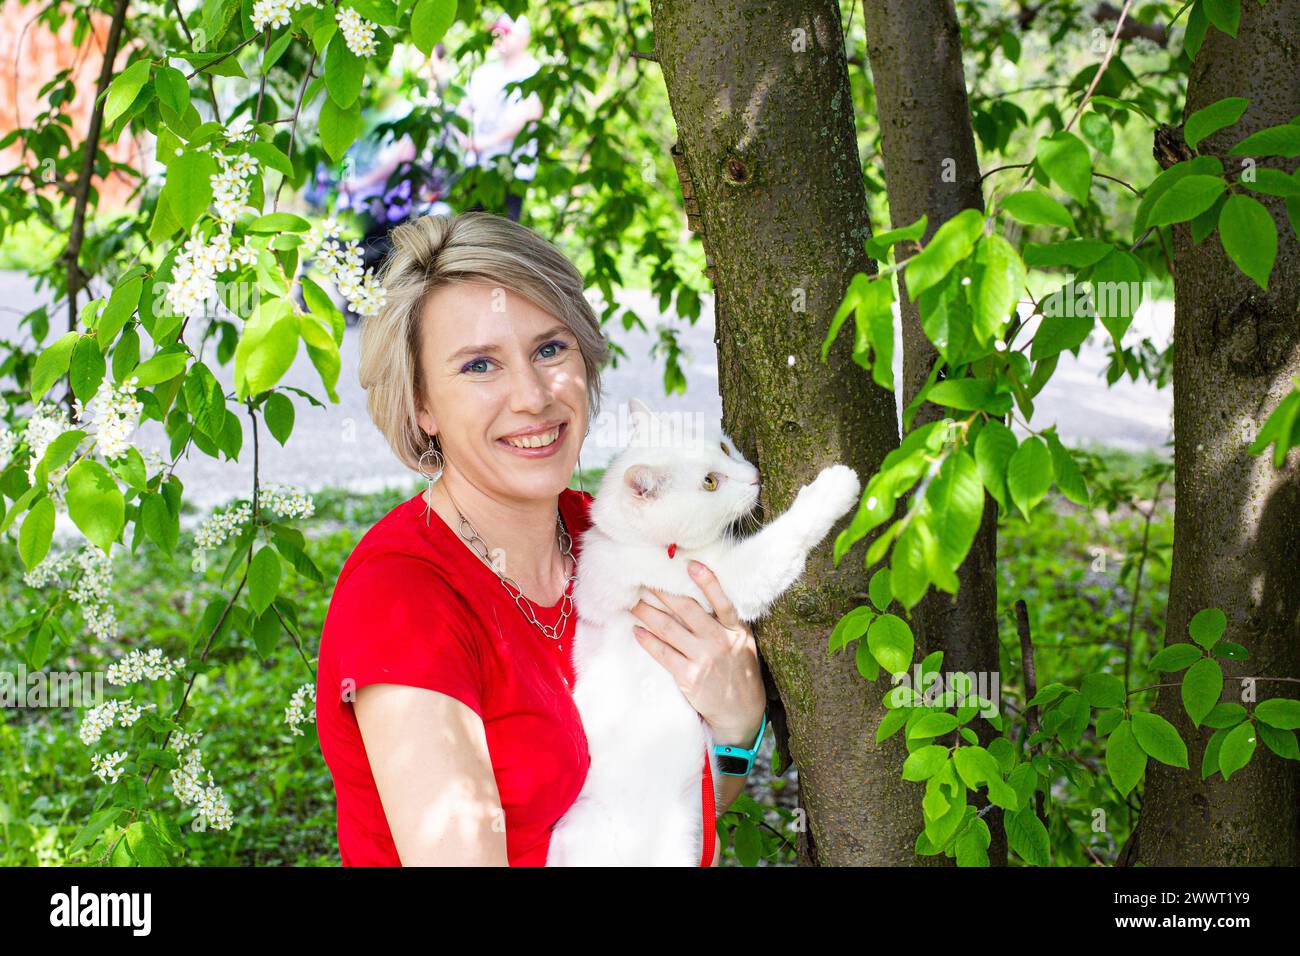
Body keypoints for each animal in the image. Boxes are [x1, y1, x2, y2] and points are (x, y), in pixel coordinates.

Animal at [543, 398, 857, 868]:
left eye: (724, 448)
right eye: (709, 483)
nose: (754, 477)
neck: (646, 545)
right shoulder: (733, 576)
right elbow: (784, 535)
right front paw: (835, 487)